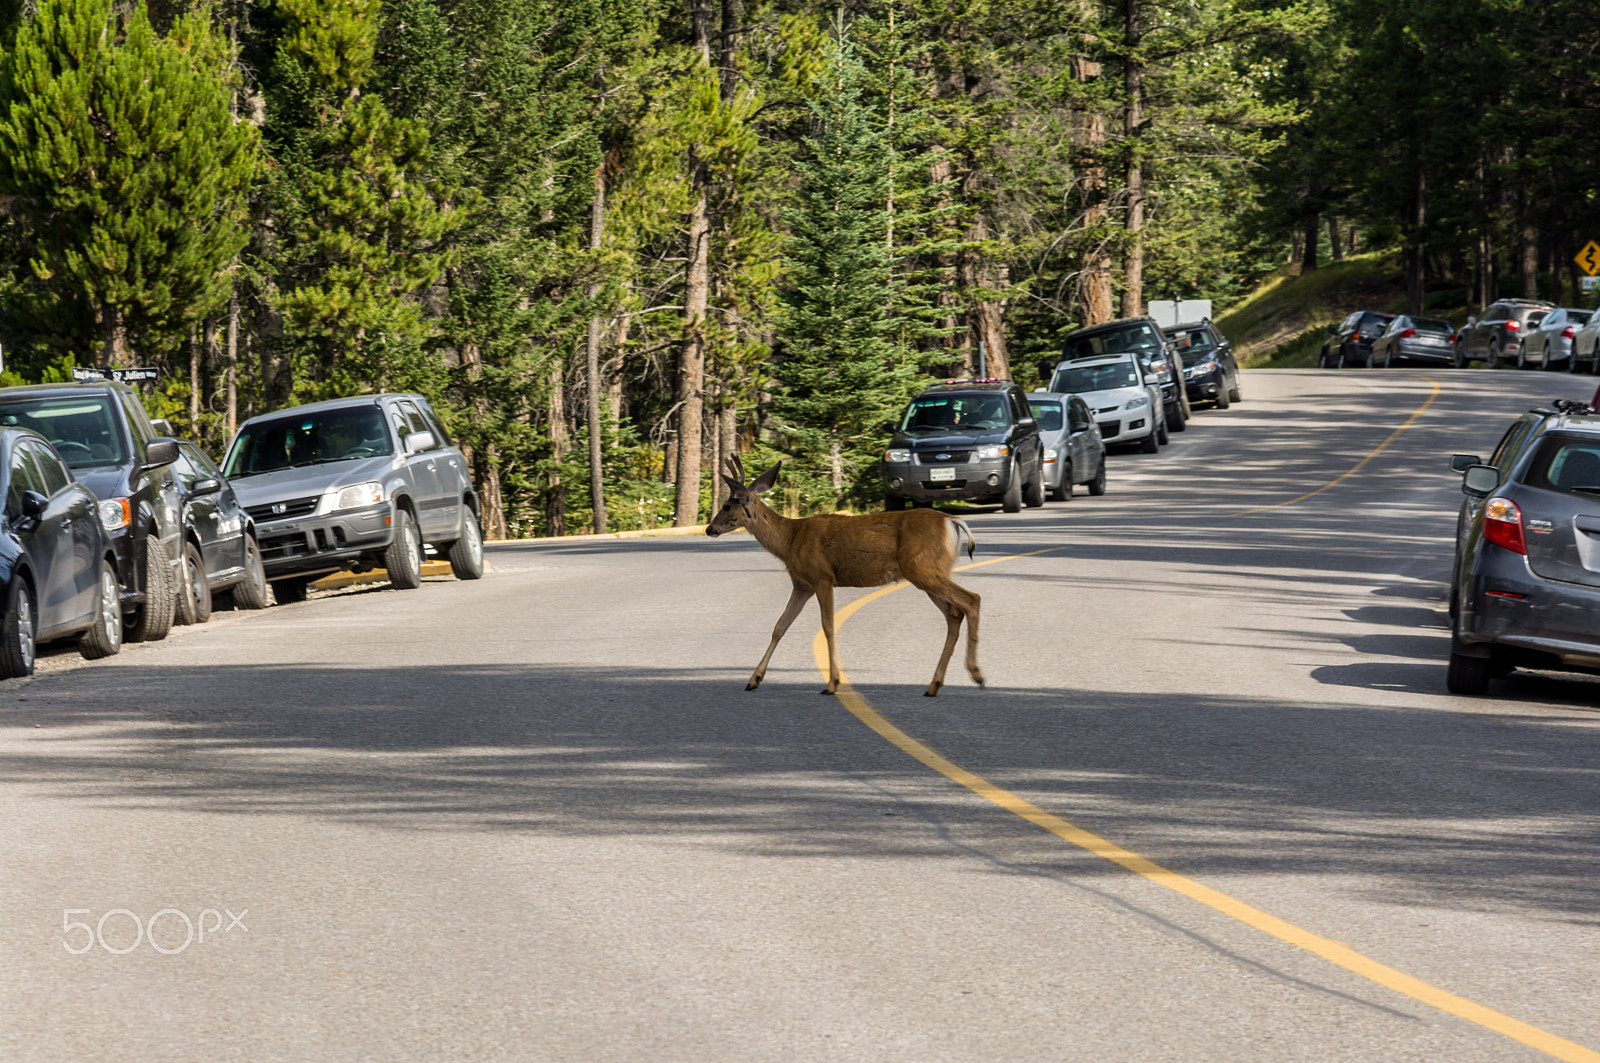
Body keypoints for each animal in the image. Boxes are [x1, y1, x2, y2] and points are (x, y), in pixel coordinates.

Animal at [706, 455, 983, 697]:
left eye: (727, 506)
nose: (710, 528)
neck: (789, 539)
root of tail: (952, 520)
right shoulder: (802, 585)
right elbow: (779, 626)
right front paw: (754, 679)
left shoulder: (822, 577)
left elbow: (828, 627)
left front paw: (832, 683)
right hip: (925, 573)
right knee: (954, 614)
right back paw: (934, 685)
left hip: (923, 568)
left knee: (972, 599)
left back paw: (976, 673)